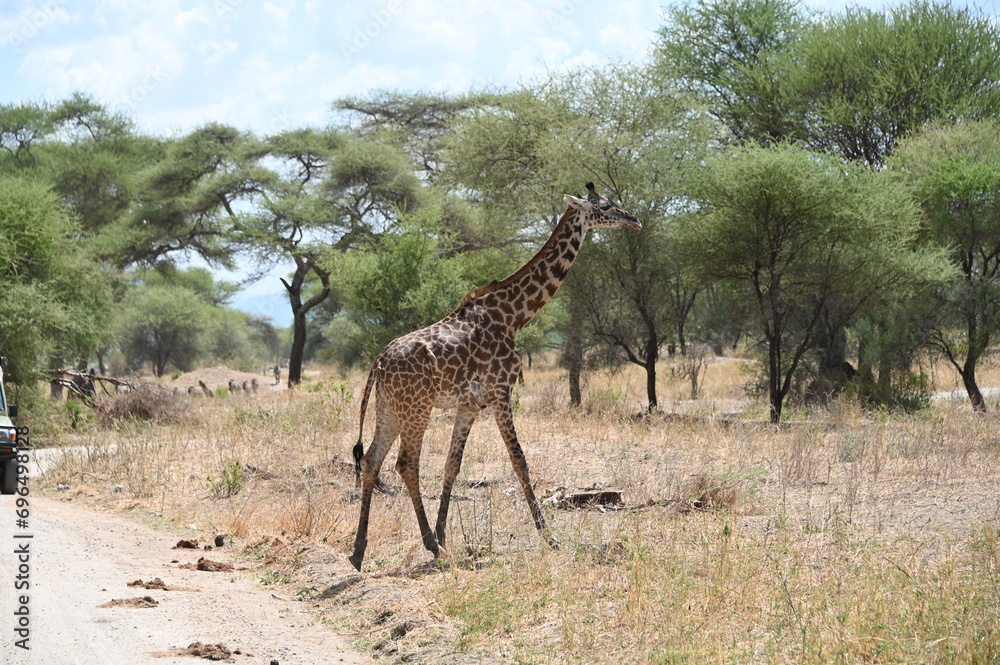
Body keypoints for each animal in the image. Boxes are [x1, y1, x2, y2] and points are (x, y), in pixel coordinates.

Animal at [348, 183, 640, 571]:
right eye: (605, 206)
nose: (634, 220)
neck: (514, 315)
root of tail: (379, 362)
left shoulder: (470, 405)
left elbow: (452, 466)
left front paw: (445, 534)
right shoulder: (502, 392)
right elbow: (520, 461)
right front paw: (548, 536)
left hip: (389, 410)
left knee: (371, 462)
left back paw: (359, 551)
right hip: (416, 408)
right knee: (405, 463)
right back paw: (428, 545)